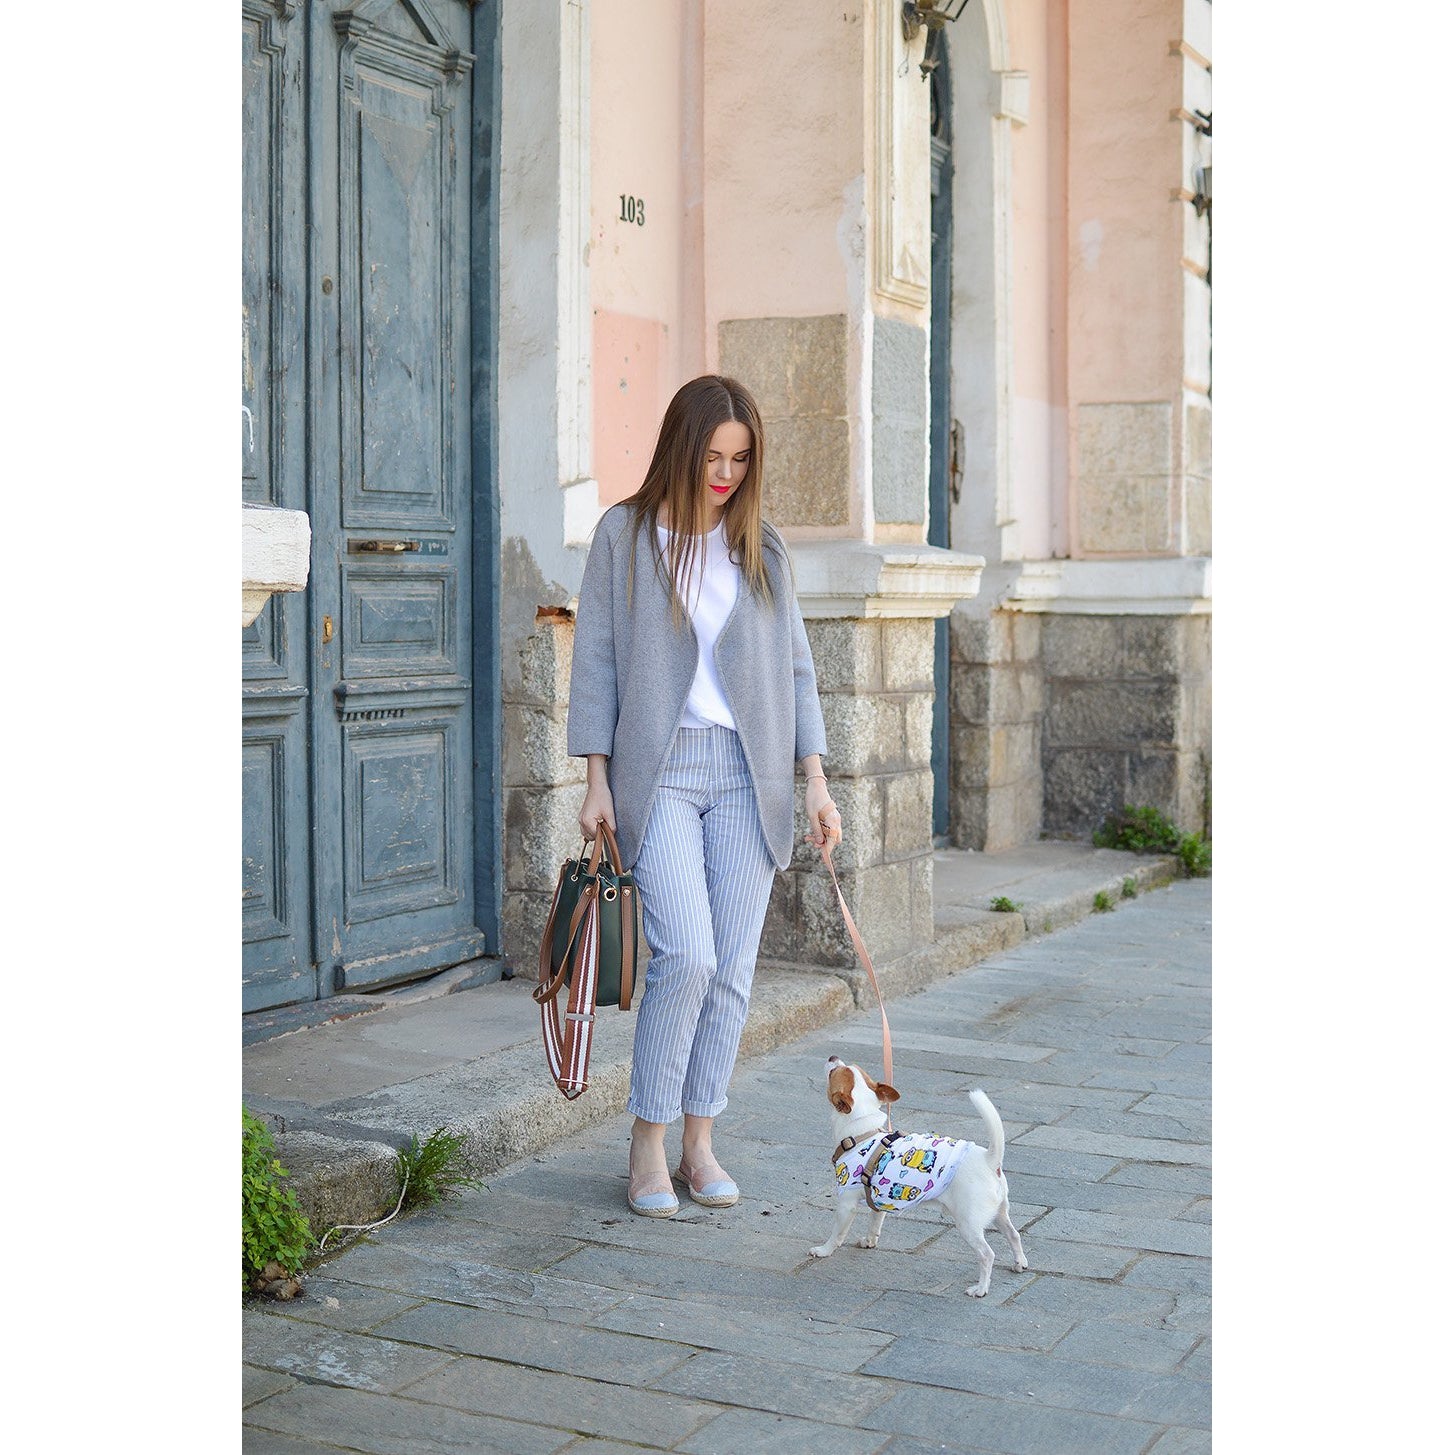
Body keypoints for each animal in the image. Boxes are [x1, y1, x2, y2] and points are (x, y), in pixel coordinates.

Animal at [808, 1059, 1035, 1297]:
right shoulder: (877, 1199)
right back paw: (1019, 1263)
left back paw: (980, 1288)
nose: (832, 1057)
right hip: (999, 1213)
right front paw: (869, 1241)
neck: (862, 1133)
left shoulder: (846, 1205)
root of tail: (989, 1160)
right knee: (1013, 1234)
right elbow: (874, 1224)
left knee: (987, 1254)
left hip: (968, 1223)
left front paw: (823, 1250)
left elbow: (837, 1234)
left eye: (833, 1072)